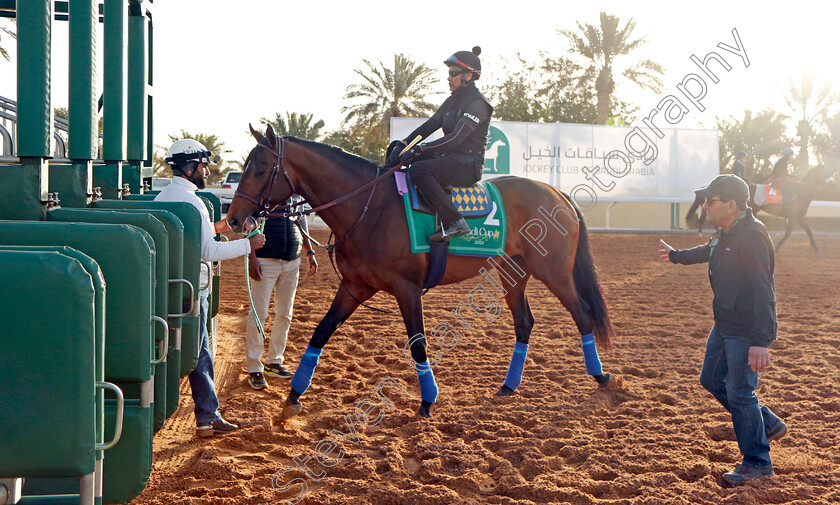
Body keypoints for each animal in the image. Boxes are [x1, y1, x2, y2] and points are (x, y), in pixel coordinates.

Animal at [226, 125, 620, 418]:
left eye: (259, 168)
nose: (233, 218)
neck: (370, 206)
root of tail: (556, 193)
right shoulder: (355, 287)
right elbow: (321, 333)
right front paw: (294, 393)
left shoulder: (407, 289)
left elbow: (418, 344)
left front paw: (428, 399)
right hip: (513, 273)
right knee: (524, 323)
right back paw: (509, 385)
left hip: (553, 271)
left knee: (583, 313)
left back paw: (601, 376)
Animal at [684, 166, 832, 251]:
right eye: (824, 172)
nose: (832, 181)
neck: (802, 191)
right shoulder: (794, 216)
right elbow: (788, 233)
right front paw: (777, 247)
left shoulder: (799, 216)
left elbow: (809, 231)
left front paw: (815, 247)